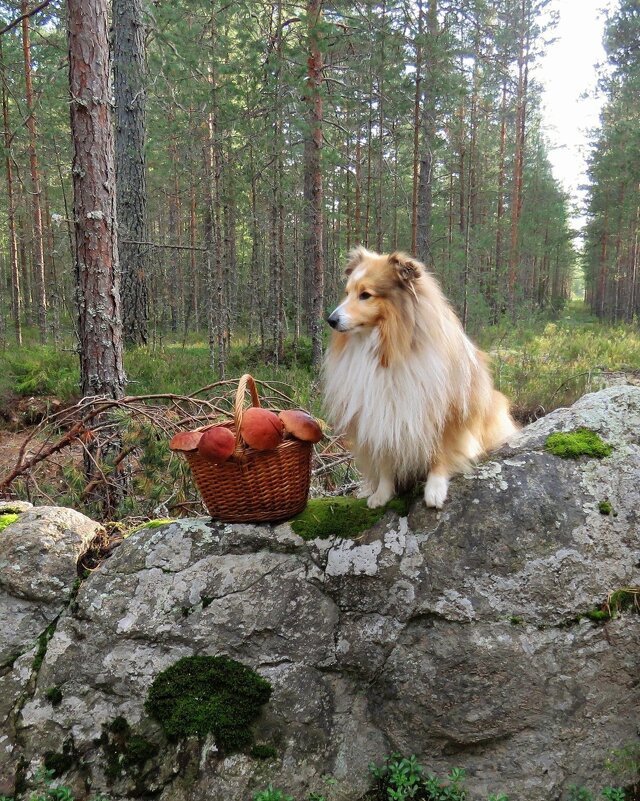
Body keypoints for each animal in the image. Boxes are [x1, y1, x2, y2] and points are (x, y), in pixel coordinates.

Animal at [322, 245, 516, 506]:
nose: (331, 320)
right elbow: (385, 460)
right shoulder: (380, 415)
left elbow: (440, 453)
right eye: (347, 293)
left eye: (365, 295)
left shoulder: (444, 412)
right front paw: (382, 494)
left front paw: (435, 489)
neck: (385, 348)